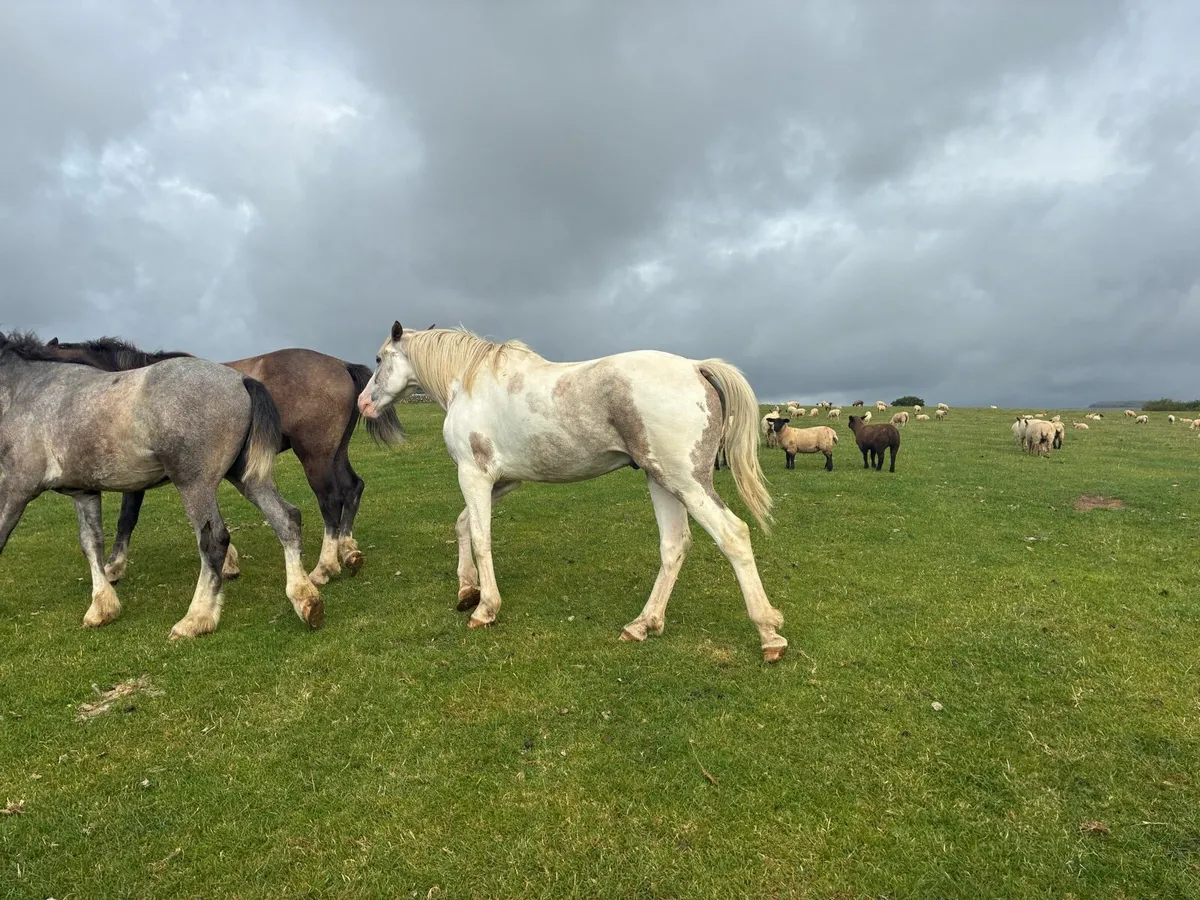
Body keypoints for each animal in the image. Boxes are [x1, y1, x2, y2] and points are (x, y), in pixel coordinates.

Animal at [0, 331, 322, 638]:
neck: (27, 391)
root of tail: (241, 380)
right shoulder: (84, 492)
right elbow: (91, 543)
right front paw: (102, 607)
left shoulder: (15, 490)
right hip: (247, 478)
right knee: (286, 519)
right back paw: (305, 598)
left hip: (195, 486)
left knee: (214, 541)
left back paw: (196, 619)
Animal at [46, 337, 405, 585]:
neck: (129, 390)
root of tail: (340, 364)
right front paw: (229, 562)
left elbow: (126, 520)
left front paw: (113, 568)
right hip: (334, 453)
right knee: (353, 488)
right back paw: (348, 550)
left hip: (315, 456)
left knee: (331, 500)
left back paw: (324, 567)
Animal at [356, 322, 787, 662]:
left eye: (378, 359)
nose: (362, 403)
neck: (470, 383)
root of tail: (695, 366)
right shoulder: (503, 481)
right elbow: (463, 525)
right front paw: (466, 590)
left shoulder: (474, 476)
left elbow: (480, 537)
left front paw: (485, 608)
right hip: (661, 480)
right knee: (674, 544)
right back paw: (642, 624)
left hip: (687, 483)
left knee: (733, 536)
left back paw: (769, 634)